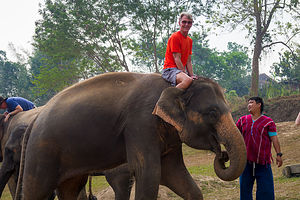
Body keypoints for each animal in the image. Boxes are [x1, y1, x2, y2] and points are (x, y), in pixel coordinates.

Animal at [15, 72, 246, 199]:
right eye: (212, 113)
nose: (222, 155)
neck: (173, 87)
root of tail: (35, 117)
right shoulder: (140, 123)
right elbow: (150, 173)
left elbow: (176, 174)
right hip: (42, 152)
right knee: (36, 191)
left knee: (70, 189)